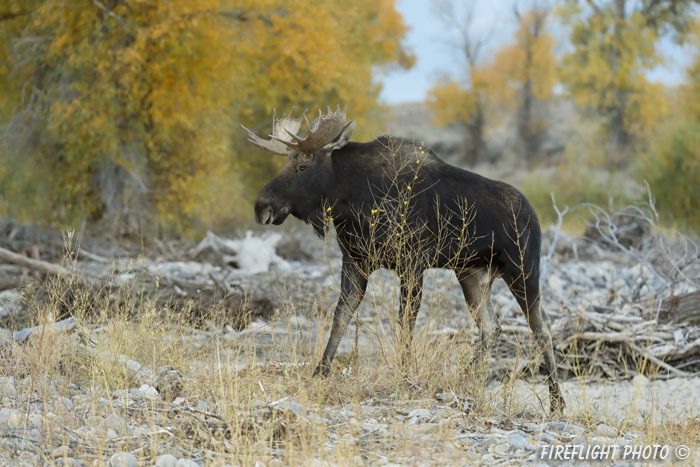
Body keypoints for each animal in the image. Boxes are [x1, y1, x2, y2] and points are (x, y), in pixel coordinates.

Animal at [243, 105, 568, 414]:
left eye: (302, 166)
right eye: (286, 162)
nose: (262, 206)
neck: (352, 200)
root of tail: (533, 214)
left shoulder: (411, 264)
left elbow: (405, 323)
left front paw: (405, 377)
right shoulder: (356, 261)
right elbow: (341, 316)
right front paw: (320, 373)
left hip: (523, 270)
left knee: (542, 327)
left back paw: (557, 401)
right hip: (471, 275)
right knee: (491, 326)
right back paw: (467, 381)